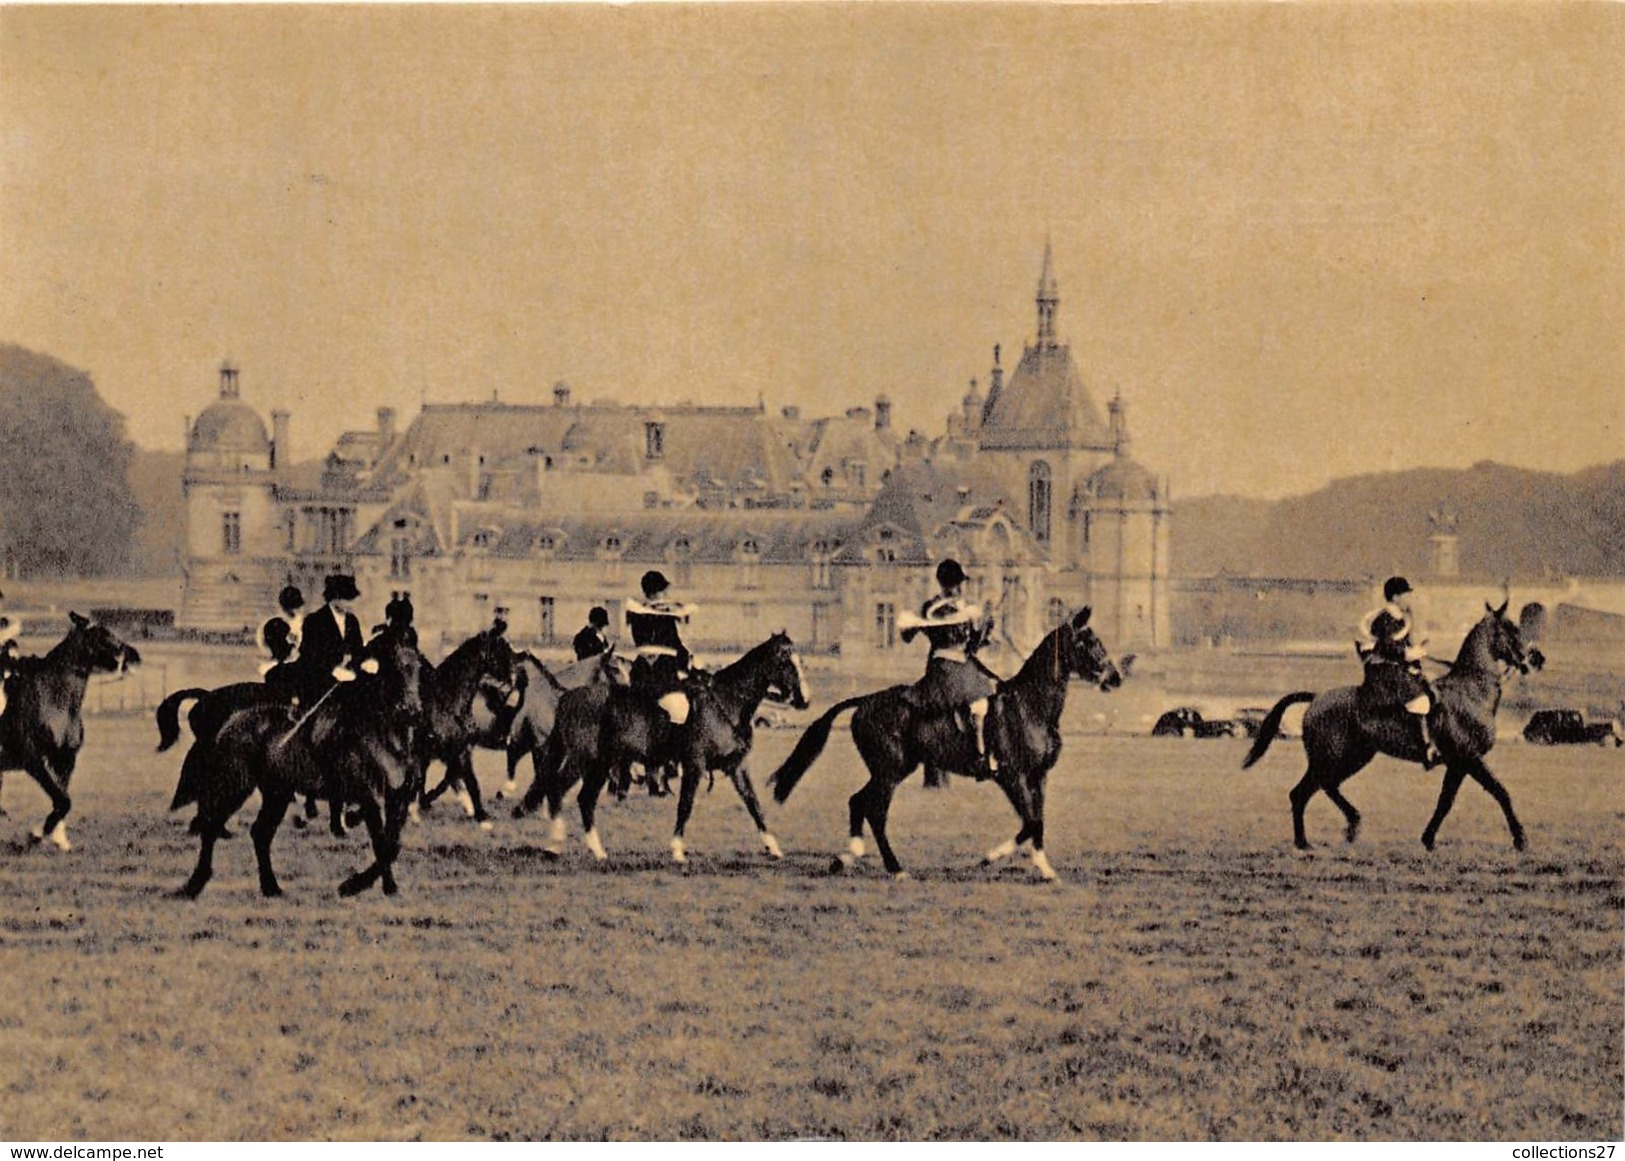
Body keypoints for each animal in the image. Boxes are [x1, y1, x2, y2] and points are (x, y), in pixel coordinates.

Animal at [0, 614, 140, 852]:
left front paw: (58, 839)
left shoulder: (64, 759)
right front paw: (36, 834)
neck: (55, 699)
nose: (133, 655)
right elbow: (63, 800)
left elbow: (62, 799)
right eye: (102, 635)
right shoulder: (32, 759)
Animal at [177, 624, 425, 897]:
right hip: (236, 785)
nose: (412, 711)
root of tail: (231, 722)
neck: (384, 736)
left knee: (260, 833)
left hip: (277, 792)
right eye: (390, 667)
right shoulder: (368, 796)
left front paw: (376, 885)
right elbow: (381, 843)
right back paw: (194, 885)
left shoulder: (397, 798)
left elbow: (392, 845)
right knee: (211, 825)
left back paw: (271, 887)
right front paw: (355, 886)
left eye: (417, 666)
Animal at [510, 627, 809, 865]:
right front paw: (677, 851)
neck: (726, 702)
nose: (804, 701)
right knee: (561, 791)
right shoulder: (695, 764)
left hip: (598, 764)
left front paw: (773, 847)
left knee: (579, 798)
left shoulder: (736, 766)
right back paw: (559, 845)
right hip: (585, 760)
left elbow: (753, 804)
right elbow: (686, 805)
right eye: (786, 662)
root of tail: (568, 696)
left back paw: (590, 850)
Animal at [767, 604, 1124, 878]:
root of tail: (867, 700)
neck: (1031, 706)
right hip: (889, 771)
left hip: (896, 768)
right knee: (876, 811)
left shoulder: (1038, 777)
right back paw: (895, 868)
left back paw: (847, 857)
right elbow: (1030, 821)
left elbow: (1037, 822)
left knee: (858, 801)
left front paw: (1043, 868)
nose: (1115, 677)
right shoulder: (1012, 777)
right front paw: (988, 858)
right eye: (1087, 642)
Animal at [1241, 598, 1534, 852]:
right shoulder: (1469, 758)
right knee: (1306, 791)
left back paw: (1338, 830)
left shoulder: (1458, 764)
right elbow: (1500, 792)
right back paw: (1317, 837)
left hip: (1355, 757)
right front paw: (1520, 840)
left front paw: (1428, 839)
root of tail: (1316, 698)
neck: (1472, 690)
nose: (1529, 659)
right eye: (1511, 627)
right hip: (1330, 758)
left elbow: (1445, 802)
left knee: (1319, 788)